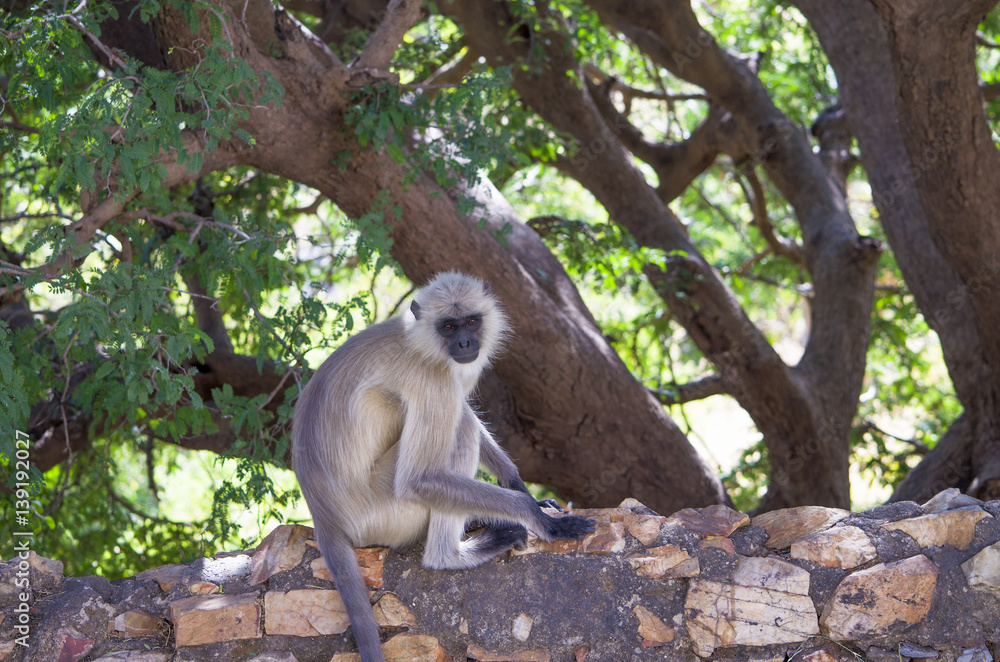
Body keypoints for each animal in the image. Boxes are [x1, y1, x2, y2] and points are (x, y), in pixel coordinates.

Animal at [292, 271, 595, 662]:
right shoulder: (432, 377)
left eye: (471, 322)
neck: (419, 341)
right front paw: (538, 518)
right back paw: (451, 556)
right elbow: (418, 478)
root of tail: (324, 517)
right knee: (456, 433)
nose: (464, 341)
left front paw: (522, 489)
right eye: (448, 326)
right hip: (383, 514)